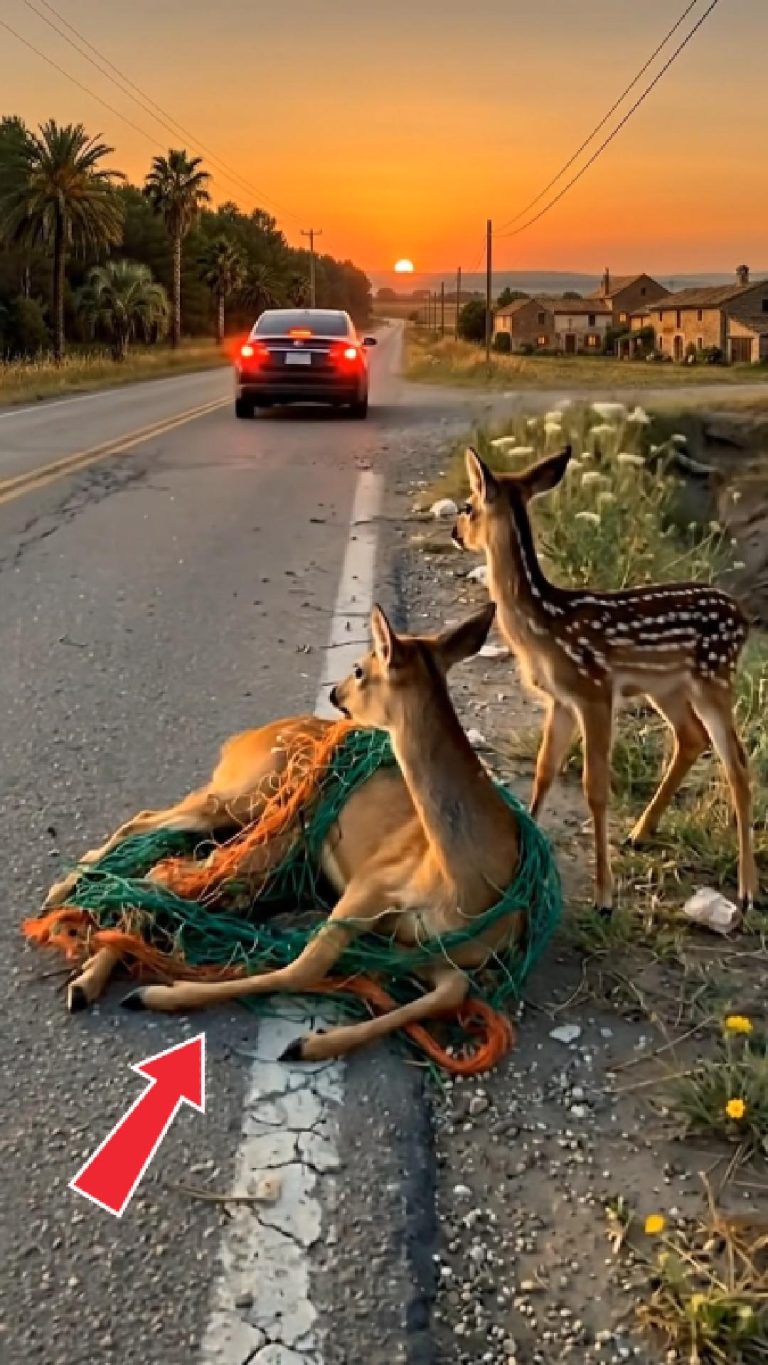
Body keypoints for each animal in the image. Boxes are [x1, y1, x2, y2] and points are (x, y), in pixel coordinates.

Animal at [41, 603, 529, 1061]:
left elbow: (449, 994)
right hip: (252, 799)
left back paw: (86, 957)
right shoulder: (372, 882)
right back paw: (70, 919)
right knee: (156, 840)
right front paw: (160, 993)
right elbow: (307, 966)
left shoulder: (425, 946)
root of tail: (242, 738)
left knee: (163, 853)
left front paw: (314, 1043)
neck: (464, 880)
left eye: (359, 669)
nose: (335, 692)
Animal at [452, 445, 757, 917]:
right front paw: (525, 864)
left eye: (468, 506)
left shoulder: (593, 691)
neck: (544, 625)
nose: (454, 532)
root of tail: (742, 617)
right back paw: (639, 833)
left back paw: (747, 890)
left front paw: (604, 896)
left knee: (737, 763)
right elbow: (544, 771)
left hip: (714, 677)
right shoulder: (560, 700)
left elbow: (594, 787)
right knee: (692, 738)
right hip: (667, 687)